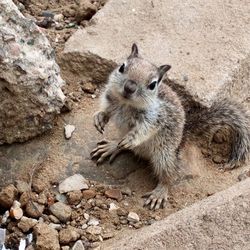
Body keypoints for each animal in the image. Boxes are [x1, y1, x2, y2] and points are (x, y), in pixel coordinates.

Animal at [91, 44, 250, 210]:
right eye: (122, 67)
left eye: (152, 85)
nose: (129, 87)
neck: (126, 104)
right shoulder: (109, 97)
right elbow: (105, 109)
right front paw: (99, 117)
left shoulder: (156, 117)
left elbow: (143, 130)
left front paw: (131, 138)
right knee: (122, 145)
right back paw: (112, 146)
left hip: (164, 155)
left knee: (169, 175)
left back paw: (160, 192)